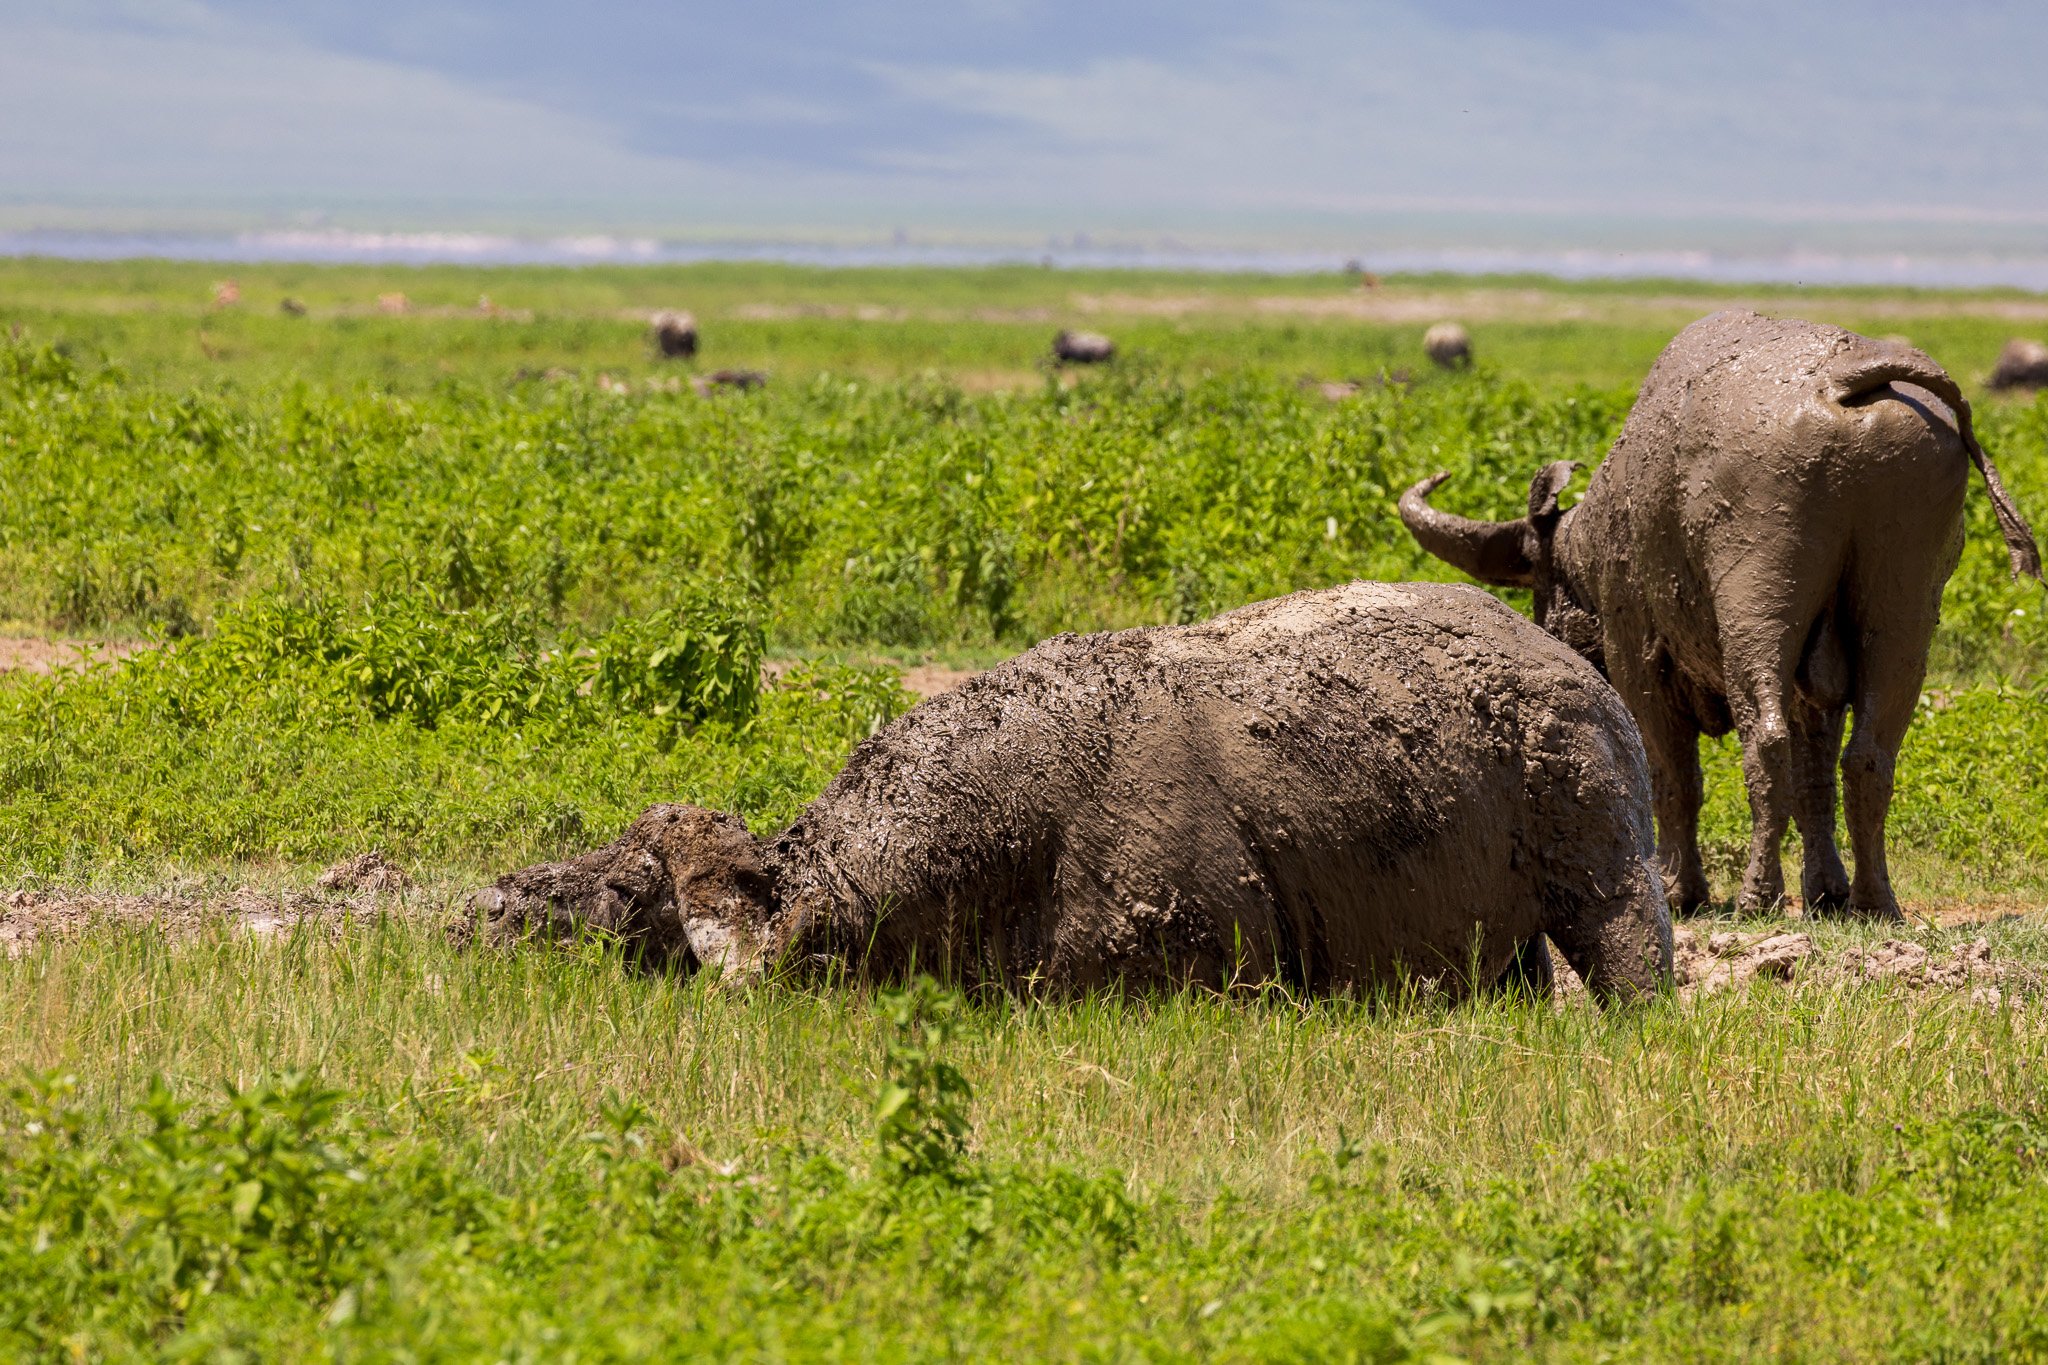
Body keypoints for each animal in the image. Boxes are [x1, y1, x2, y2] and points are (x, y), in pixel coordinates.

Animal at [1400, 315, 2039, 925]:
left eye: (1538, 578)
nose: (1554, 636)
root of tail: (1846, 378)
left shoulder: (1638, 661)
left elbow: (1673, 776)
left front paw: (1681, 889)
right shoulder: (1818, 691)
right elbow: (1814, 781)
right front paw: (1825, 890)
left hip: (1755, 600)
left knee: (1766, 742)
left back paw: (1759, 895)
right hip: (1904, 601)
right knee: (1869, 757)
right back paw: (1874, 900)